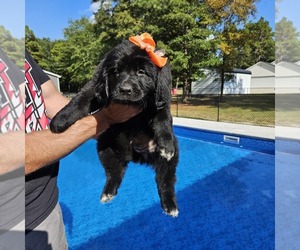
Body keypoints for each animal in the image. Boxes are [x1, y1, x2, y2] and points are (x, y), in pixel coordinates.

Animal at [50, 35, 179, 217]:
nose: (125, 90)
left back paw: (170, 205)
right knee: (115, 171)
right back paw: (108, 192)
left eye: (141, 72)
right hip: (105, 144)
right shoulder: (95, 87)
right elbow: (80, 99)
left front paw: (166, 144)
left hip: (170, 157)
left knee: (165, 179)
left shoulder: (161, 98)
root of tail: (136, 156)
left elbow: (163, 118)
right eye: (116, 72)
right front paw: (60, 119)